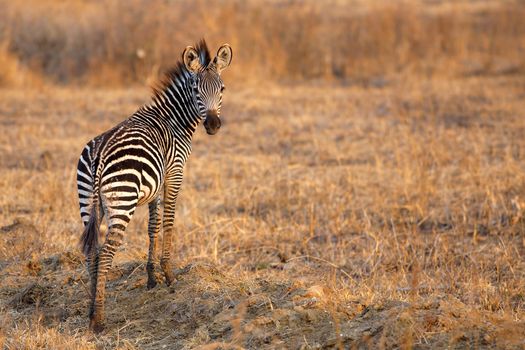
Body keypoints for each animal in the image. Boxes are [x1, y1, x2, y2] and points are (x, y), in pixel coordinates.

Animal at [77, 39, 232, 332]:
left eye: (222, 89)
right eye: (196, 89)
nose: (214, 125)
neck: (173, 120)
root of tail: (100, 154)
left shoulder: (153, 186)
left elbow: (152, 227)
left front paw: (151, 278)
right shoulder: (174, 173)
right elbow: (169, 221)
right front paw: (169, 275)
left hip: (87, 202)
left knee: (92, 252)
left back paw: (91, 308)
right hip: (122, 202)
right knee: (106, 252)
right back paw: (99, 319)